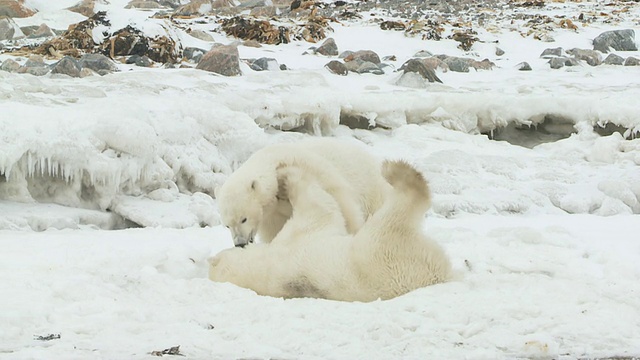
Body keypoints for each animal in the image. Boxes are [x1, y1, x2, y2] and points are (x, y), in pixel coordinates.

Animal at [209, 159, 450, 302]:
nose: (239, 244)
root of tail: (438, 276)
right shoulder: (299, 237)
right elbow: (321, 208)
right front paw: (288, 174)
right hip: (380, 247)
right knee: (399, 209)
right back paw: (396, 171)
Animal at [215, 138, 390, 248]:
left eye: (243, 219)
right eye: (227, 225)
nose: (240, 243)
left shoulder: (313, 170)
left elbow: (344, 207)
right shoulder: (273, 214)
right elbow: (275, 230)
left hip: (372, 189)